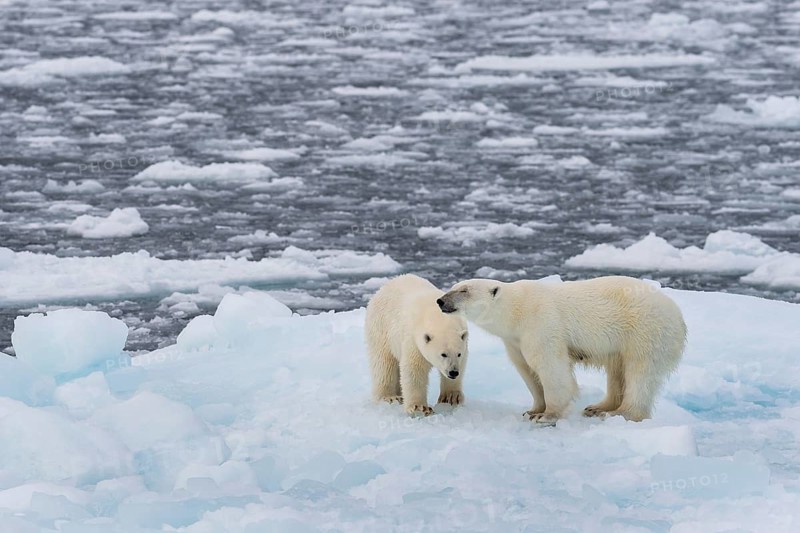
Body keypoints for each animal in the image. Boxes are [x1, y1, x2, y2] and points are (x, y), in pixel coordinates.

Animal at [365, 274, 469, 416]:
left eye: (459, 354)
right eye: (443, 354)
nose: (453, 372)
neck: (438, 318)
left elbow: (462, 365)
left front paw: (451, 397)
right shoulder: (413, 339)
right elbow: (414, 369)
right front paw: (419, 407)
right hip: (381, 328)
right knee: (384, 364)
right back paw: (390, 397)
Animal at [437, 276, 686, 423]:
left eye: (464, 290)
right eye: (453, 287)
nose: (440, 301)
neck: (516, 310)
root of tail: (678, 314)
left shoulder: (540, 324)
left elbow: (550, 368)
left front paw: (547, 415)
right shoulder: (515, 341)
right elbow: (527, 370)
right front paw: (533, 410)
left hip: (645, 331)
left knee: (640, 373)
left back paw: (618, 412)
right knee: (617, 371)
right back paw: (597, 407)